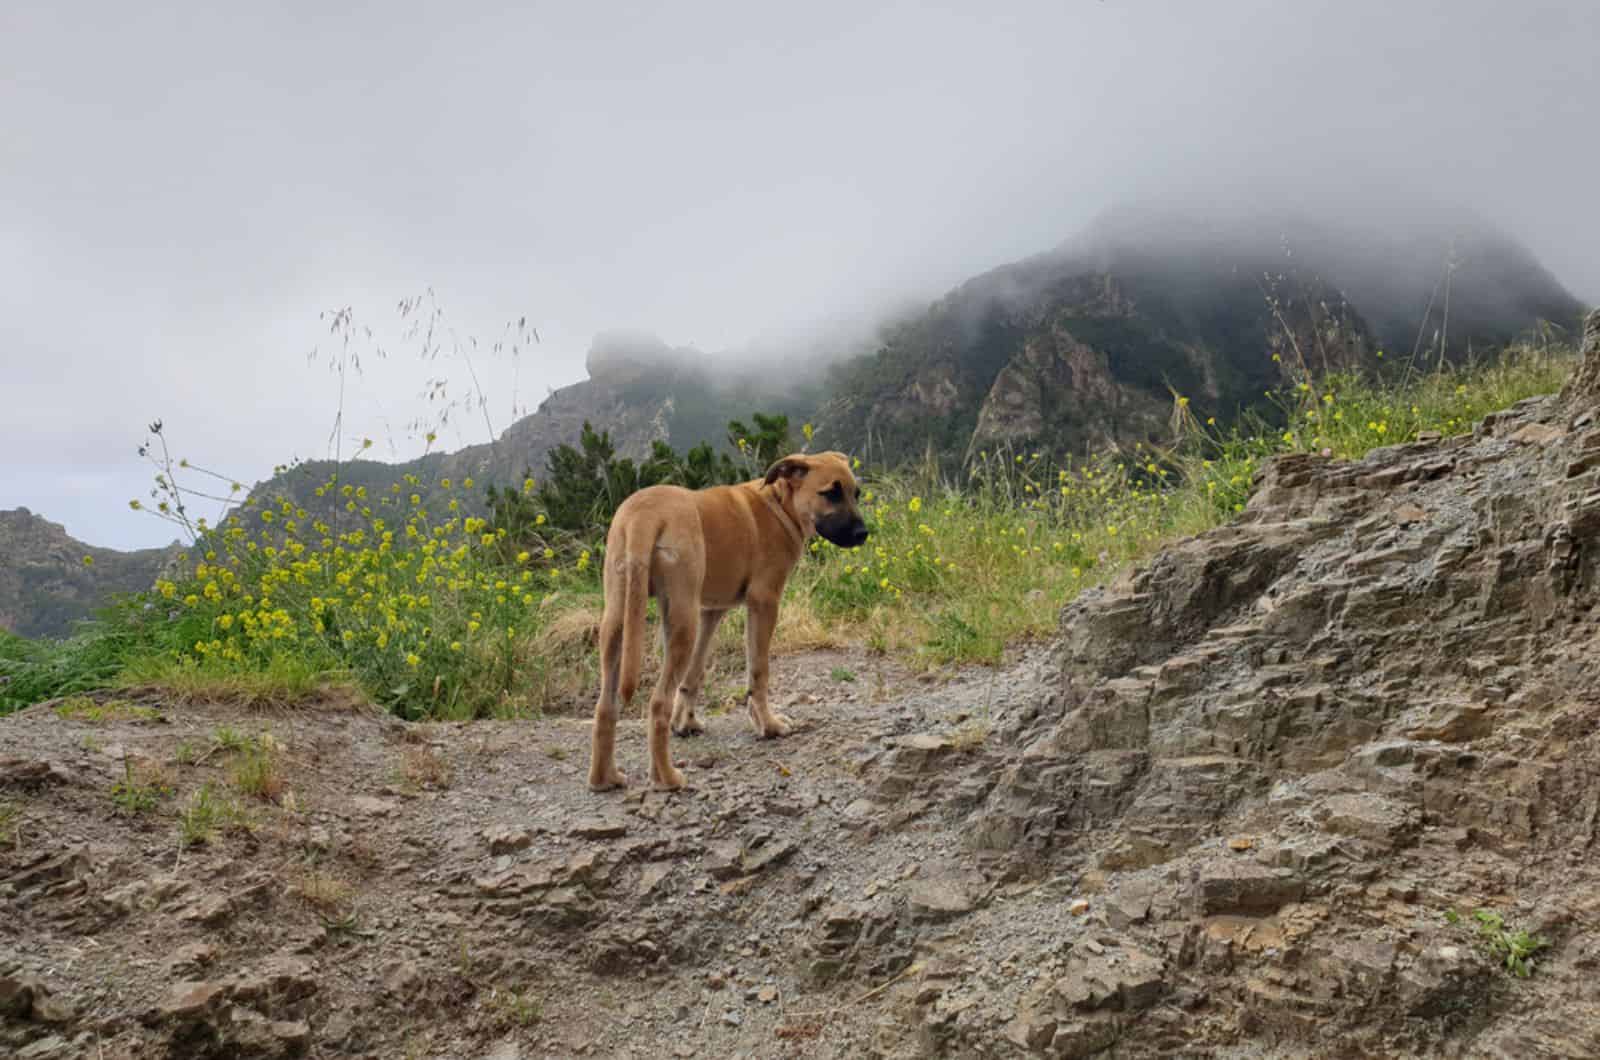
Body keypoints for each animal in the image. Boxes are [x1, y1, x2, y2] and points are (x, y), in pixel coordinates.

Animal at [588, 451, 870, 794]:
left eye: (856, 493)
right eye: (830, 493)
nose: (863, 534)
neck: (779, 504)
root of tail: (644, 515)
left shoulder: (711, 611)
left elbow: (694, 674)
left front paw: (686, 722)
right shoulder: (764, 602)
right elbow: (759, 672)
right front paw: (768, 725)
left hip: (620, 617)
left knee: (605, 707)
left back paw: (604, 778)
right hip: (681, 617)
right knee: (657, 703)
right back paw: (667, 778)